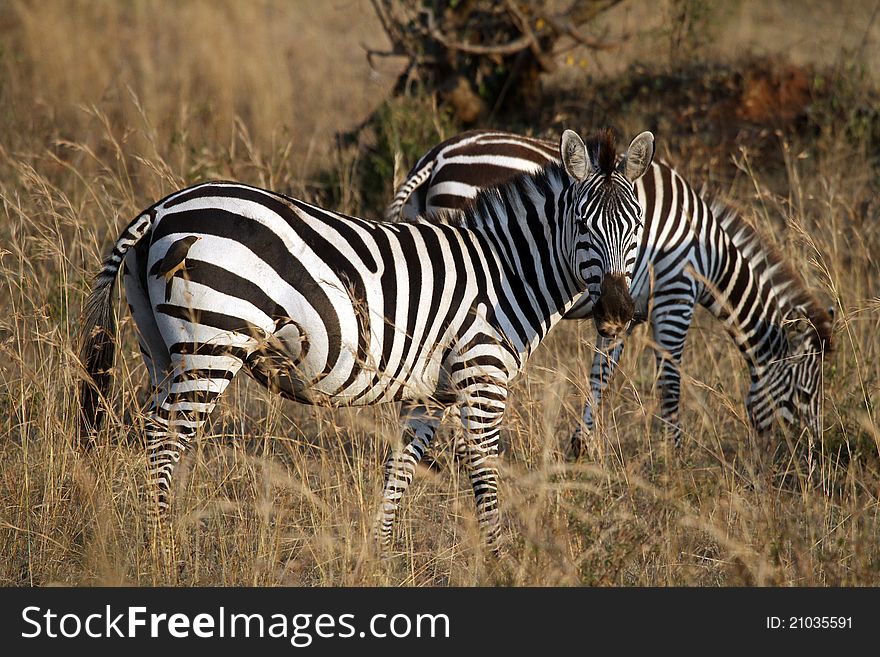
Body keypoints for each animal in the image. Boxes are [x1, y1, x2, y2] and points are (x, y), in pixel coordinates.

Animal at [79, 125, 656, 552]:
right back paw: (162, 550)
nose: (618, 313)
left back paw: (155, 537)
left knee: (152, 426)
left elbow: (401, 467)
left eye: (636, 227)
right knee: (165, 438)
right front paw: (498, 558)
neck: (506, 270)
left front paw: (379, 555)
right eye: (582, 224)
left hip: (162, 347)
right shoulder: (482, 378)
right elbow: (485, 472)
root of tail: (160, 209)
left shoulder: (430, 393)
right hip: (212, 345)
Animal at [390, 130, 832, 454]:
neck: (706, 251)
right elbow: (670, 382)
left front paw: (580, 447)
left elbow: (601, 375)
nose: (813, 455)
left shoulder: (629, 312)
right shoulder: (675, 294)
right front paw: (675, 456)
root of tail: (436, 157)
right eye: (805, 393)